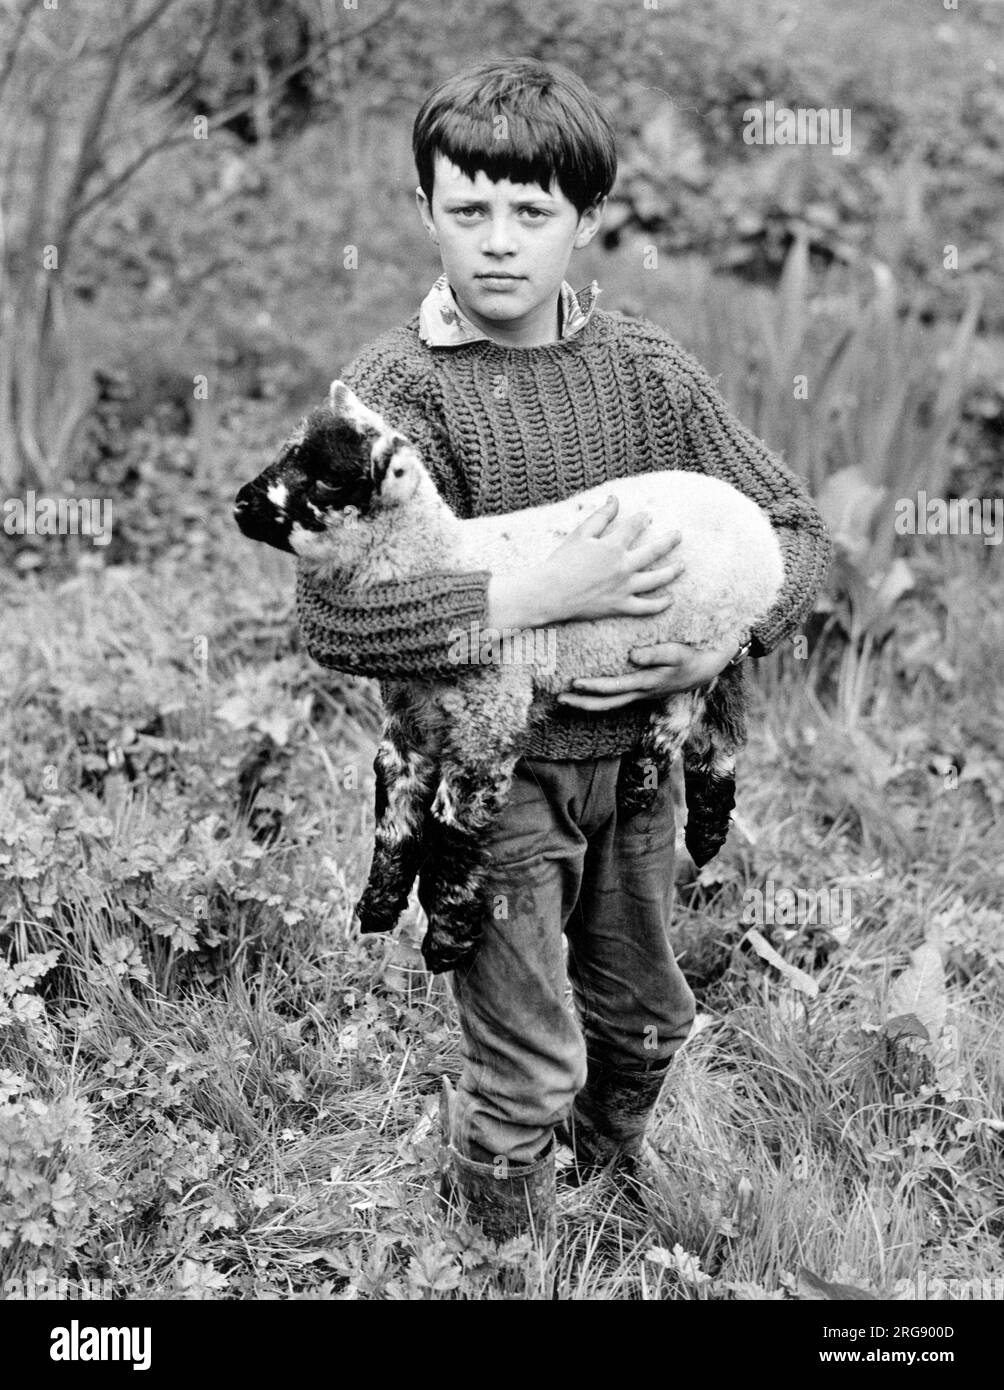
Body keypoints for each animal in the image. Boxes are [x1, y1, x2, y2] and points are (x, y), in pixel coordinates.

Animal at [235, 375, 784, 973]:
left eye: (329, 479)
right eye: (289, 452)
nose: (241, 504)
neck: (447, 560)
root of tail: (760, 531)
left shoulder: (487, 719)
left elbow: (453, 827)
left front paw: (447, 940)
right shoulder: (408, 719)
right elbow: (394, 812)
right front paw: (378, 907)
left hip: (700, 631)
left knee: (686, 710)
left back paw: (642, 783)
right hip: (724, 628)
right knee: (724, 723)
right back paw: (706, 829)